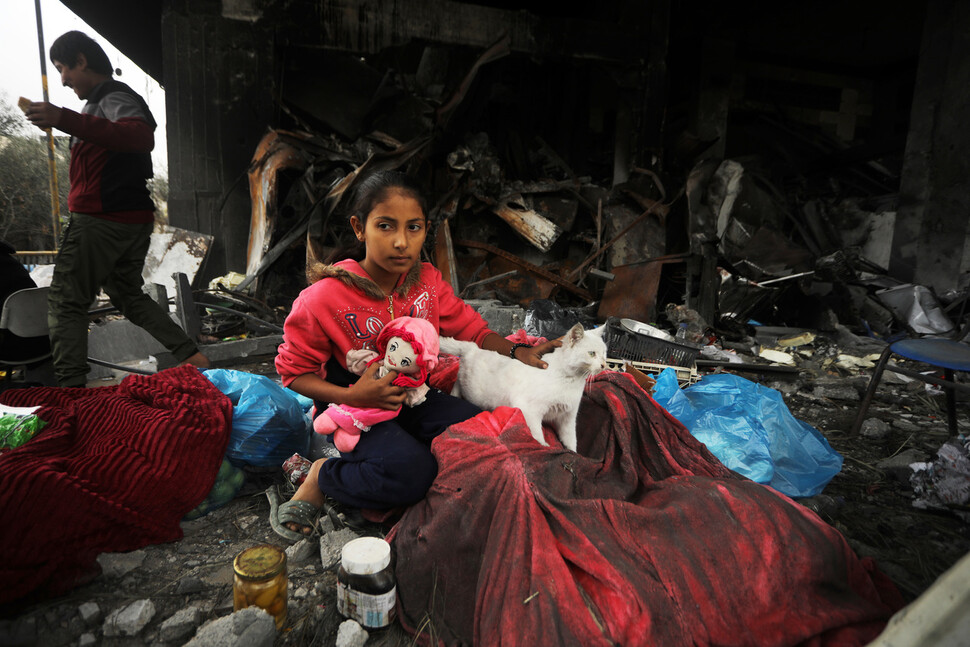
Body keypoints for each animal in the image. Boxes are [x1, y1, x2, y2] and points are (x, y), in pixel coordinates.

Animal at [438, 322, 604, 450]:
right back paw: (453, 394)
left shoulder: (567, 417)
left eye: (604, 353)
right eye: (591, 353)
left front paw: (572, 453)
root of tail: (474, 348)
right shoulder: (530, 410)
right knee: (457, 382)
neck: (572, 381)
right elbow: (537, 433)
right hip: (471, 391)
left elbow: (571, 441)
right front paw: (544, 446)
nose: (604, 364)